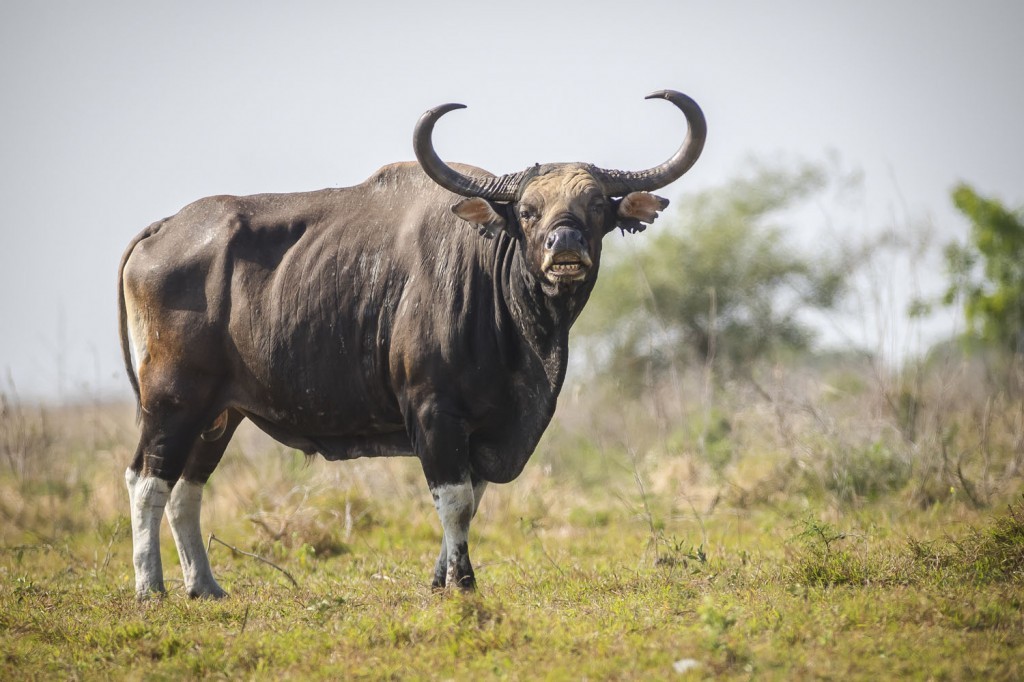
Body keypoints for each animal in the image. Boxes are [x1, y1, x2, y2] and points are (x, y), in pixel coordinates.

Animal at [116, 89, 700, 593]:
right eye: (527, 211)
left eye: (598, 204)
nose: (566, 244)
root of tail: (165, 228)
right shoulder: (433, 412)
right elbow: (455, 501)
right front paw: (462, 583)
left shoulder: (482, 429)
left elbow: (472, 502)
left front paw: (442, 579)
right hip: (172, 401)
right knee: (146, 480)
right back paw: (151, 588)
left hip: (219, 414)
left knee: (186, 489)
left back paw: (204, 586)